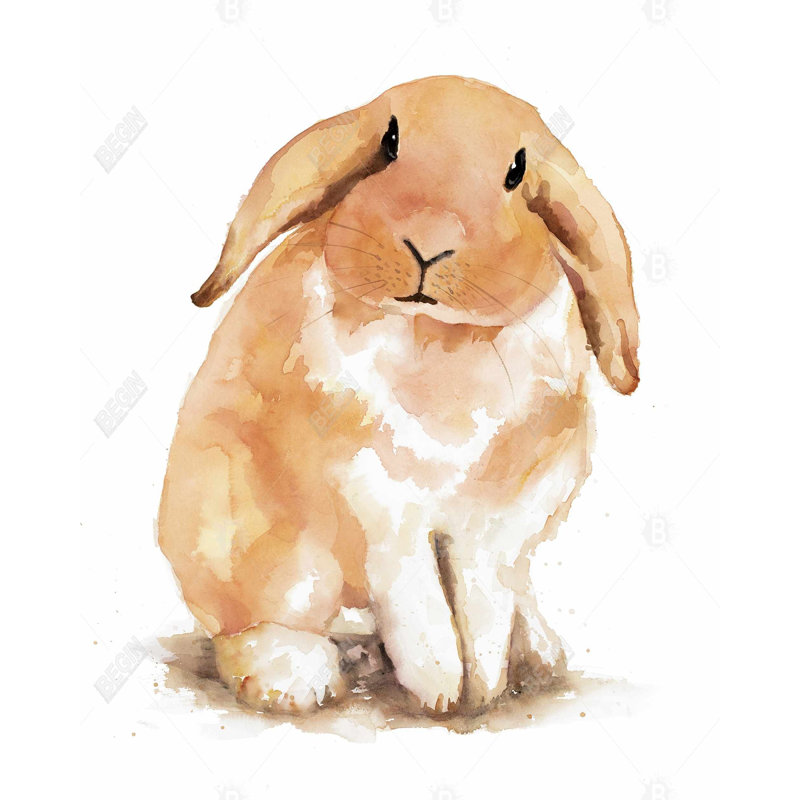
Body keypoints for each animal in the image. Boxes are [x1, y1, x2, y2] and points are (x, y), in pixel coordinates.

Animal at [158, 75, 639, 716]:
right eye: (389, 144)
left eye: (517, 171)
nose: (429, 245)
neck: (439, 336)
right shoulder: (379, 504)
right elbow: (420, 601)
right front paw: (442, 690)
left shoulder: (500, 522)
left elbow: (480, 603)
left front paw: (482, 688)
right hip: (253, 537)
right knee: (255, 621)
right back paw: (295, 677)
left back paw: (536, 651)